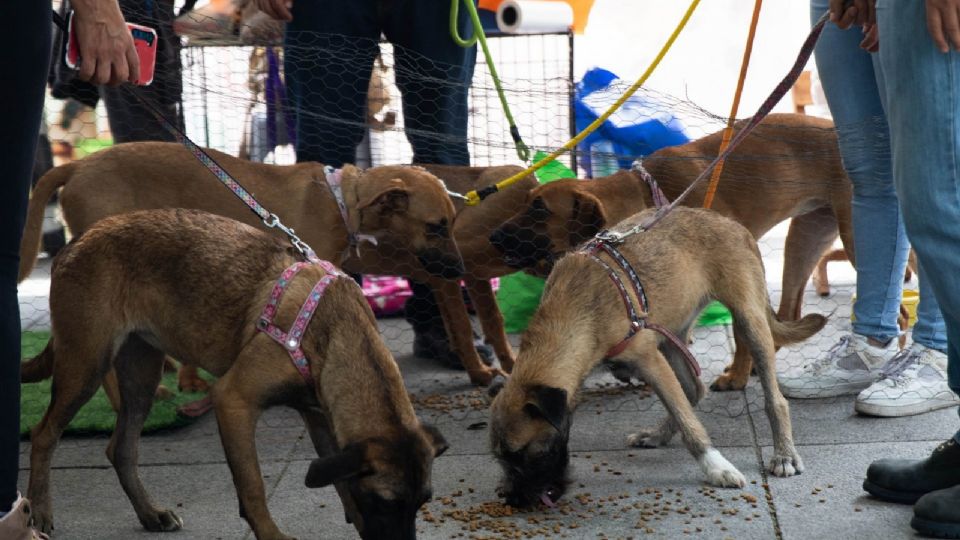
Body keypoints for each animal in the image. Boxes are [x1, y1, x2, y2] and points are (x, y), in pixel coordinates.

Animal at [18, 209, 446, 536]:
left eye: (421, 502)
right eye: (385, 501)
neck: (334, 328)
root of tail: (75, 243)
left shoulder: (322, 419)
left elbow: (341, 482)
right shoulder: (234, 402)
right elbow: (252, 486)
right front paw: (273, 536)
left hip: (140, 376)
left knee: (120, 449)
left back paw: (150, 514)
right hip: (85, 365)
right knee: (44, 435)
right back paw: (38, 511)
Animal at [492, 113, 852, 388]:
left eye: (539, 209)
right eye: (527, 201)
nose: (493, 236)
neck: (648, 194)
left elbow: (740, 330)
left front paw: (736, 377)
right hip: (806, 238)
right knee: (786, 312)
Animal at [492, 207, 820, 506]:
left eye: (528, 452)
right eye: (500, 459)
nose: (511, 500)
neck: (574, 314)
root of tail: (732, 223)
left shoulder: (650, 361)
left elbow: (688, 422)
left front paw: (716, 467)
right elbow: (682, 406)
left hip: (749, 321)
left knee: (773, 399)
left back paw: (784, 454)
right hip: (673, 332)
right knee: (694, 389)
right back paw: (659, 434)